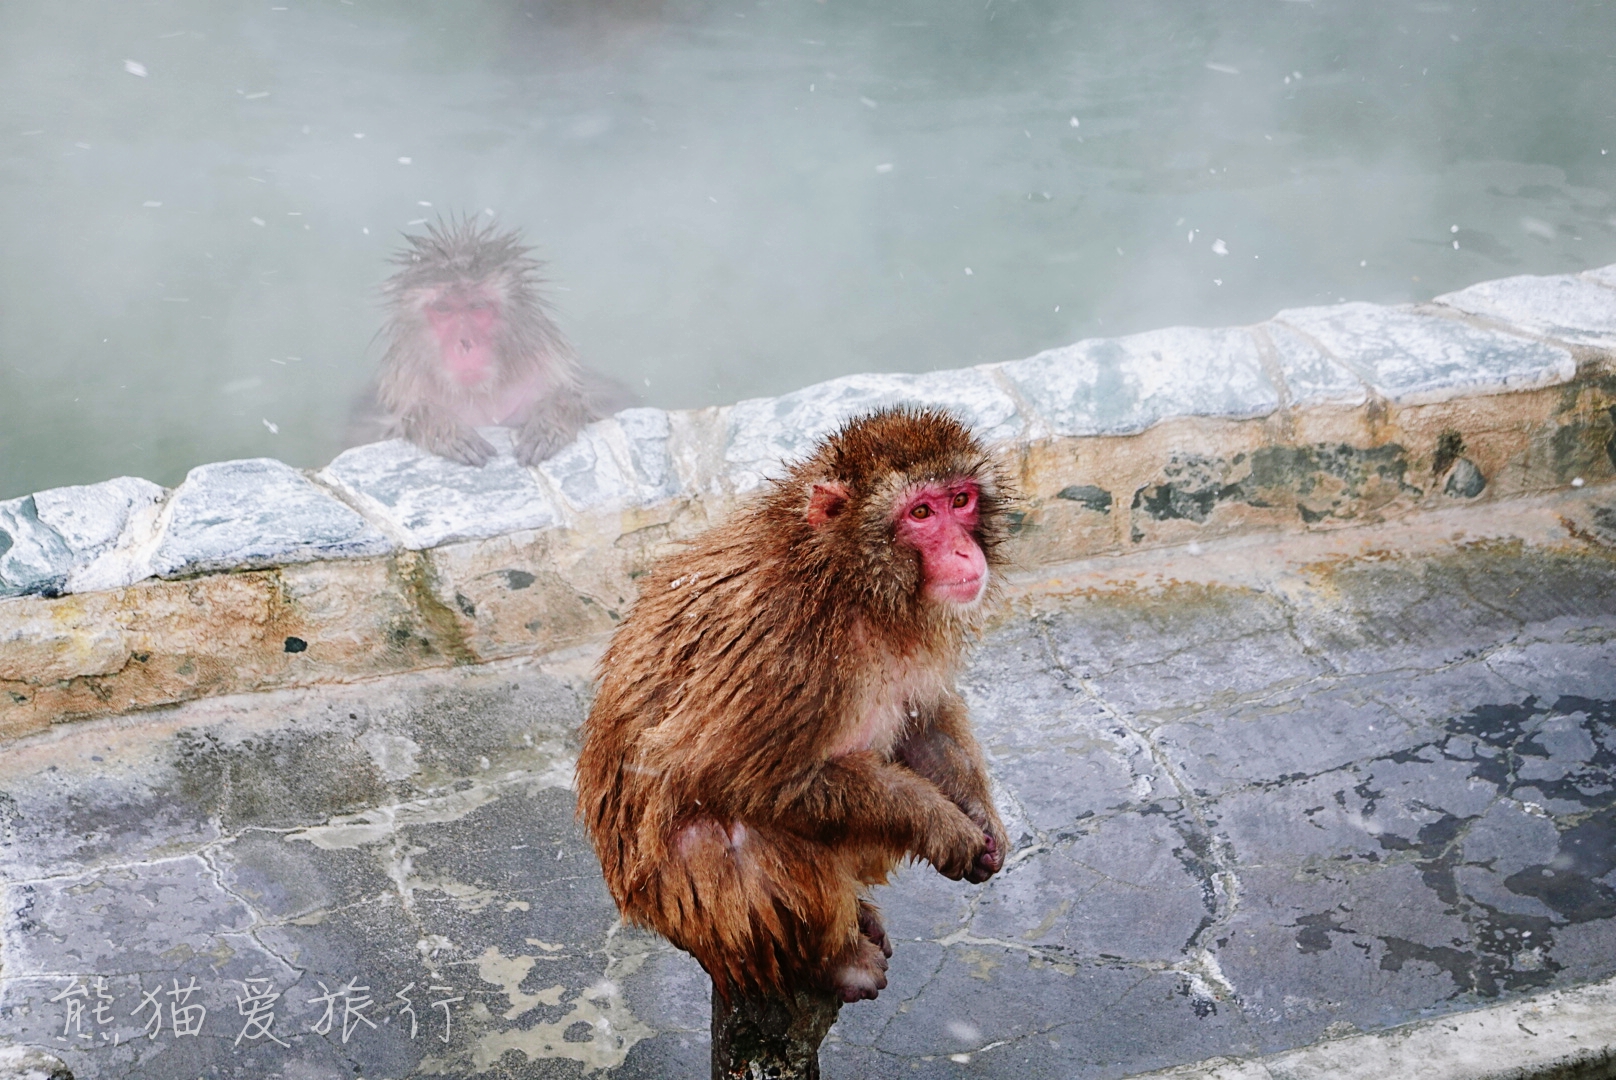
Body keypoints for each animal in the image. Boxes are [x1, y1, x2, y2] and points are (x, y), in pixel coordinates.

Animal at [350, 216, 627, 465]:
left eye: (478, 306)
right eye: (443, 309)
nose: (464, 344)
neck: (483, 393)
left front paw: (550, 420)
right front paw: (441, 426)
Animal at [578, 407, 1008, 1002]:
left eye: (960, 500)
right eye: (921, 513)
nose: (965, 551)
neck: (846, 581)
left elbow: (920, 722)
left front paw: (978, 815)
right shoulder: (783, 653)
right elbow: (749, 780)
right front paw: (940, 824)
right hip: (691, 914)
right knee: (734, 834)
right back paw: (837, 960)